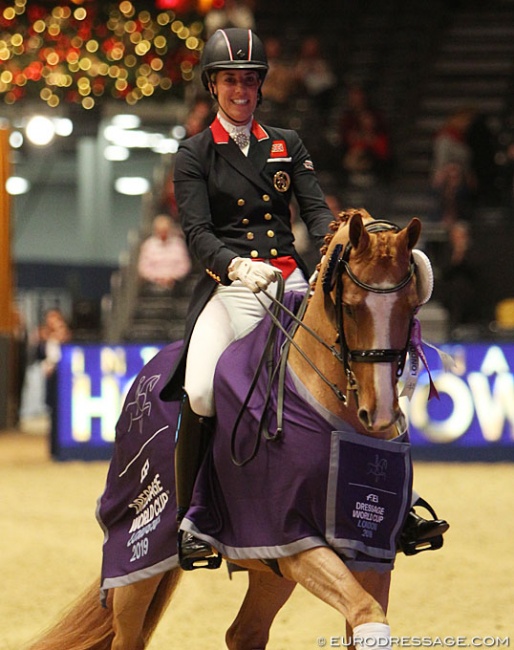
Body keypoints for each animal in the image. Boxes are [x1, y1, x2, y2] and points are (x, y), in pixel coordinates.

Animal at [27, 210, 428, 648]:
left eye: (411, 306)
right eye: (352, 308)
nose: (382, 413)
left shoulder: (367, 548)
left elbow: (366, 617)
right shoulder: (291, 538)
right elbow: (365, 612)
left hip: (266, 567)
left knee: (244, 633)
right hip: (137, 558)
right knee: (127, 634)